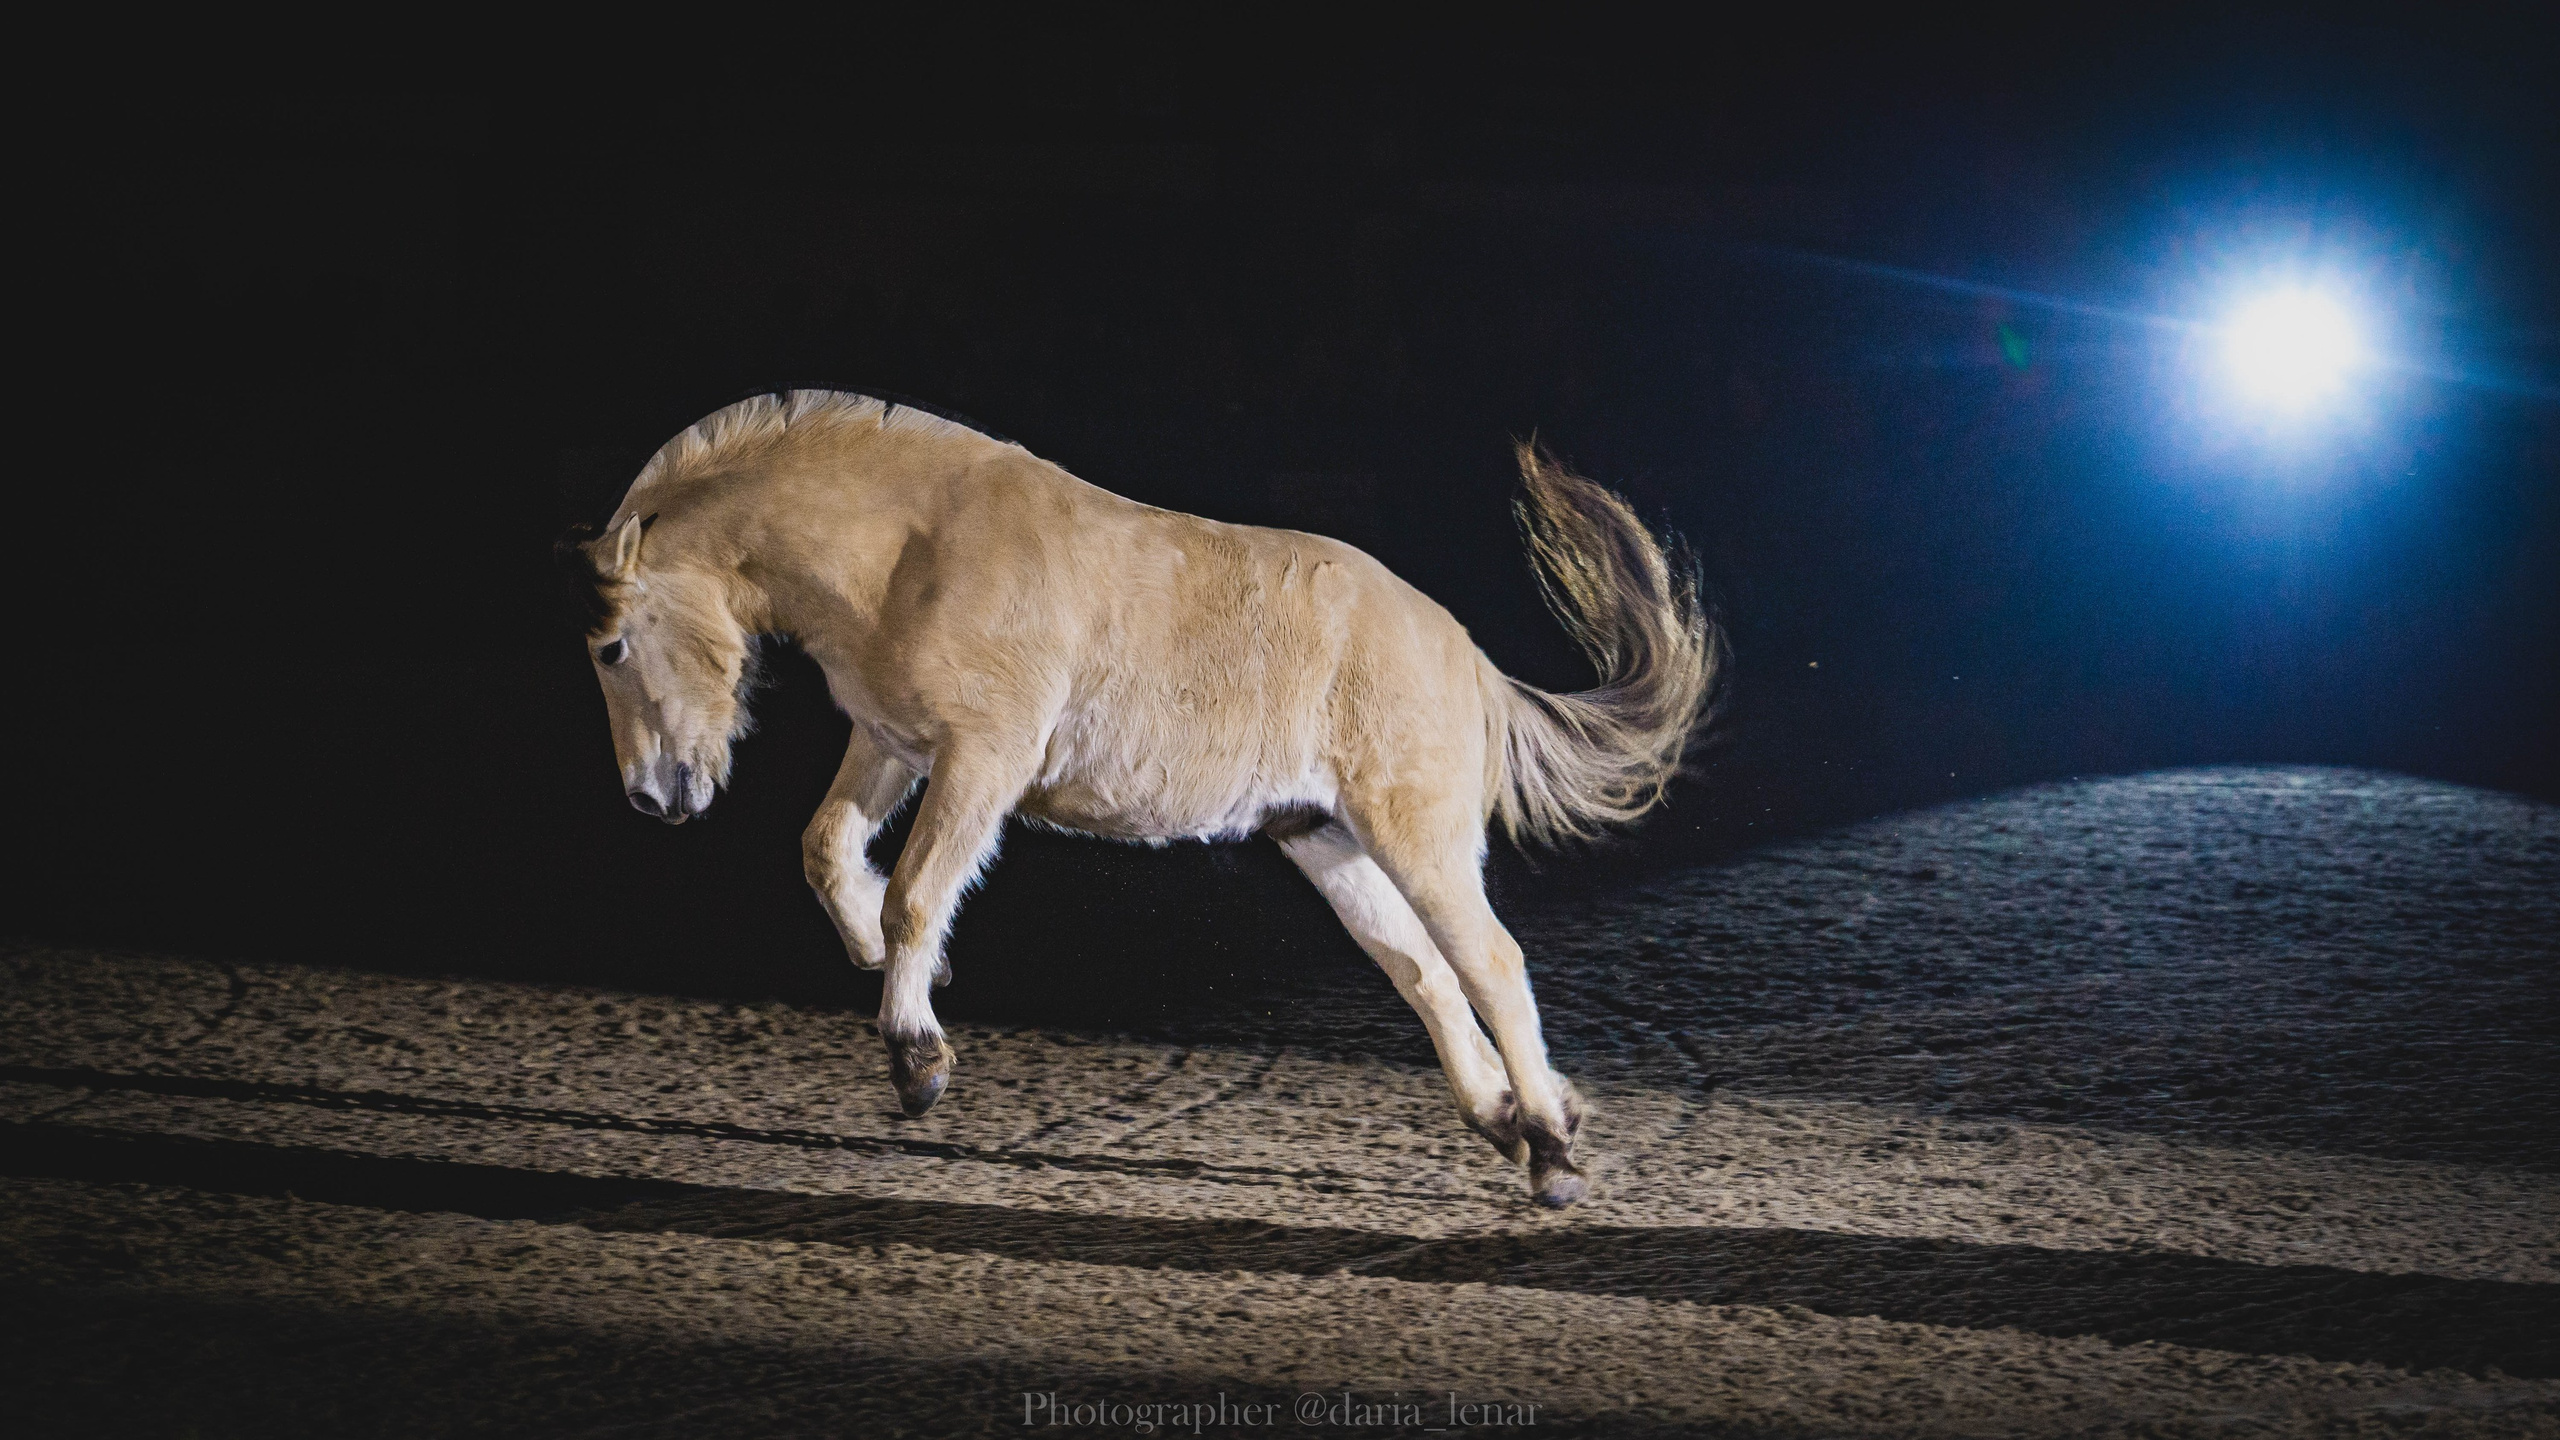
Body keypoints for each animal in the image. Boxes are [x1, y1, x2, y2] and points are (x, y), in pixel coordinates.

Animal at [555, 390, 1717, 1206]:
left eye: (613, 648)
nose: (653, 797)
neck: (909, 547)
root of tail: (1472, 663)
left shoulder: (983, 760)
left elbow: (916, 893)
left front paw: (917, 1056)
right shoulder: (892, 742)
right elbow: (831, 851)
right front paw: (887, 973)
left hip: (1413, 836)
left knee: (1490, 964)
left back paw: (1553, 1150)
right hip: (1328, 842)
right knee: (1427, 975)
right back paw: (1507, 1120)